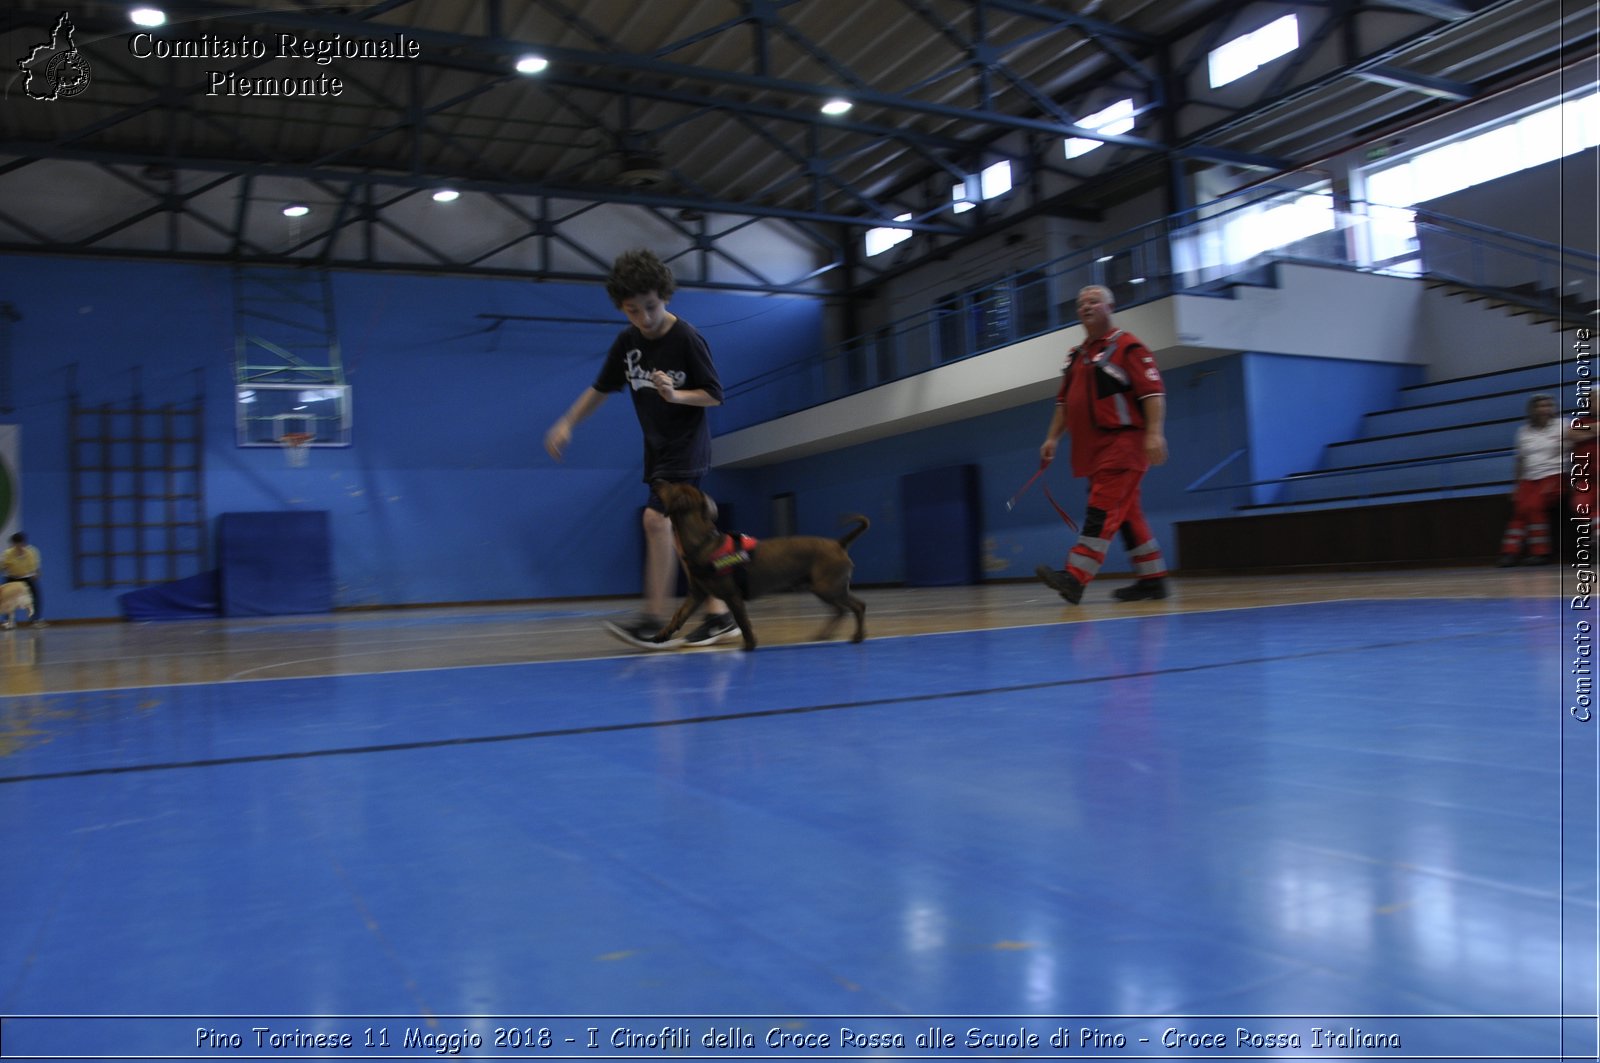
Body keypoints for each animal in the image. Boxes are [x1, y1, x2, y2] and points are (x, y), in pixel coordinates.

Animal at [649, 480, 870, 646]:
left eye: (670, 485)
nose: (656, 479)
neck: (704, 543)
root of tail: (839, 543)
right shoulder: (696, 594)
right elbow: (678, 615)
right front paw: (661, 635)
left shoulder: (733, 596)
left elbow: (743, 622)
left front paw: (749, 645)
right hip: (822, 588)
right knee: (841, 610)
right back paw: (824, 635)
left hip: (828, 587)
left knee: (858, 606)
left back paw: (858, 636)